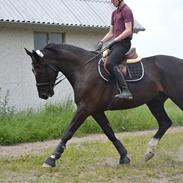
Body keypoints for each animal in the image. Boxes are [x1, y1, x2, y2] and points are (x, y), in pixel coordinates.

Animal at [25, 43, 183, 168]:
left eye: (38, 68)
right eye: (33, 69)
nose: (43, 94)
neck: (84, 69)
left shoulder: (85, 108)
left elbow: (68, 132)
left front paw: (51, 159)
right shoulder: (96, 110)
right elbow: (109, 132)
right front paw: (124, 157)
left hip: (175, 97)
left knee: (165, 122)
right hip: (154, 102)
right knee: (165, 122)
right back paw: (149, 152)